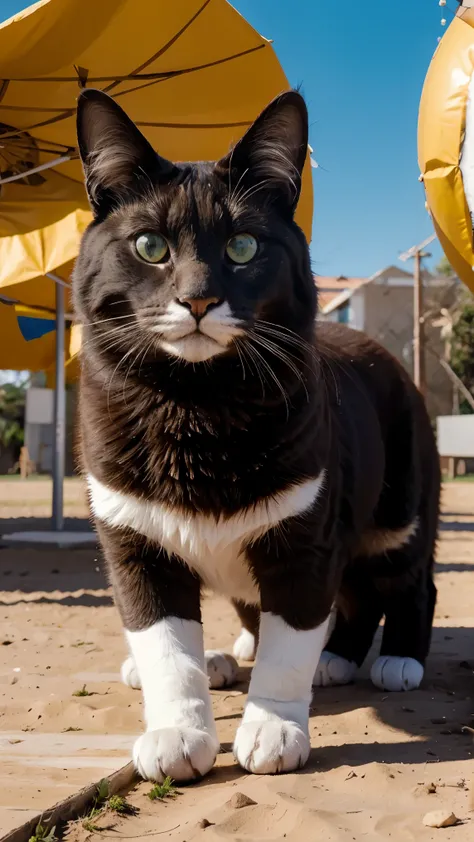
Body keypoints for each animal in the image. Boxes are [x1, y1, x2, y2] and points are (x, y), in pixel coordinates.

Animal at [74, 87, 440, 780]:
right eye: (149, 245)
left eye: (243, 246)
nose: (197, 299)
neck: (193, 405)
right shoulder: (133, 541)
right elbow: (165, 646)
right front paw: (177, 728)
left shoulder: (305, 537)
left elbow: (289, 643)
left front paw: (273, 725)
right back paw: (292, 654)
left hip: (399, 507)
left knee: (404, 581)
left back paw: (392, 657)